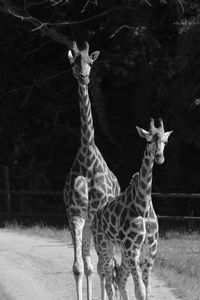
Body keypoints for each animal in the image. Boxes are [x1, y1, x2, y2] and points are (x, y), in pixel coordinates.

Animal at [91, 119, 173, 300]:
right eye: (148, 141)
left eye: (165, 141)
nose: (159, 157)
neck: (143, 205)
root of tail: (95, 218)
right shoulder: (132, 247)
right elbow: (140, 291)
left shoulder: (151, 248)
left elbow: (146, 290)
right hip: (104, 246)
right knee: (109, 281)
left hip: (121, 250)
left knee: (119, 279)